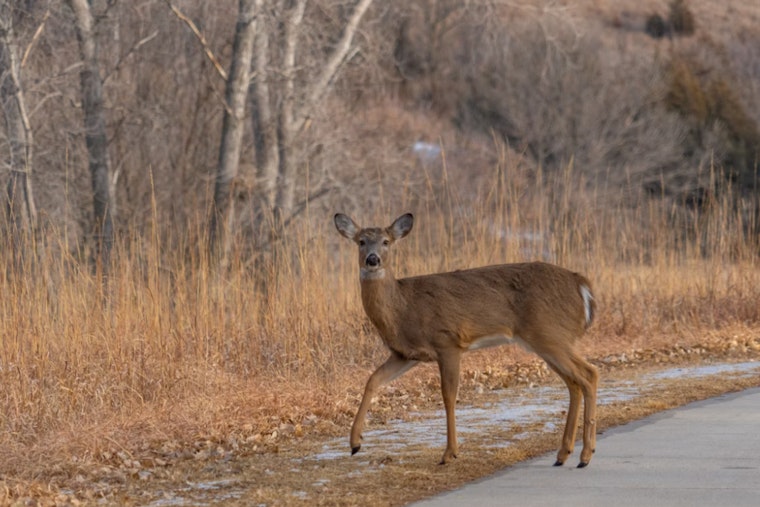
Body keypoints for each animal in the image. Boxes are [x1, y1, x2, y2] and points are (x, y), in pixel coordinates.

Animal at [334, 212, 599, 467]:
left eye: (386, 241)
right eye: (361, 241)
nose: (372, 260)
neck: (403, 307)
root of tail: (581, 284)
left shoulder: (447, 342)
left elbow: (449, 396)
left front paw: (449, 453)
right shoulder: (406, 354)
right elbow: (373, 380)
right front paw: (355, 443)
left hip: (550, 335)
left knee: (589, 374)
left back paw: (585, 455)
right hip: (549, 340)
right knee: (574, 383)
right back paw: (563, 454)